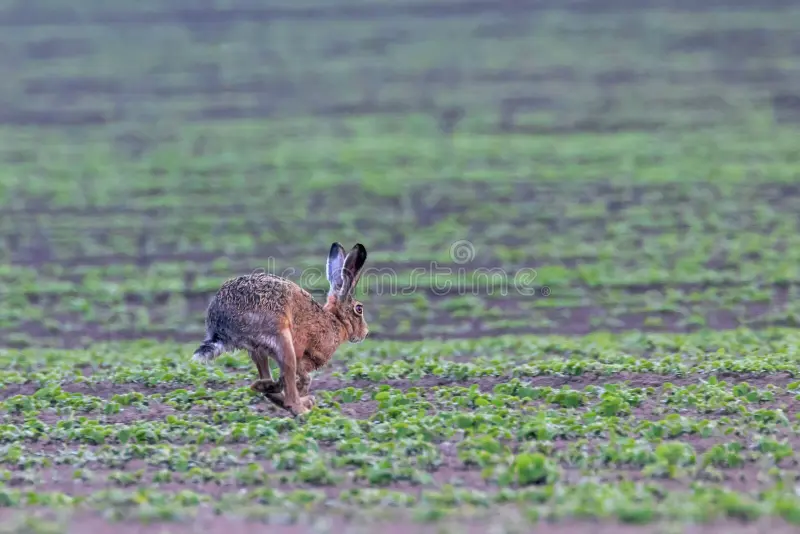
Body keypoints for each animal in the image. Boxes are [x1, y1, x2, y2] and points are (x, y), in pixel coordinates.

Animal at [190, 242, 369, 416]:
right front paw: (300, 390)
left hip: (258, 350)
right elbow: (305, 377)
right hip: (282, 339)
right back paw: (301, 408)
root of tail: (220, 326)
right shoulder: (306, 355)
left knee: (269, 382)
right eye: (359, 309)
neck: (336, 320)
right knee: (288, 387)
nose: (365, 333)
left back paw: (266, 387)